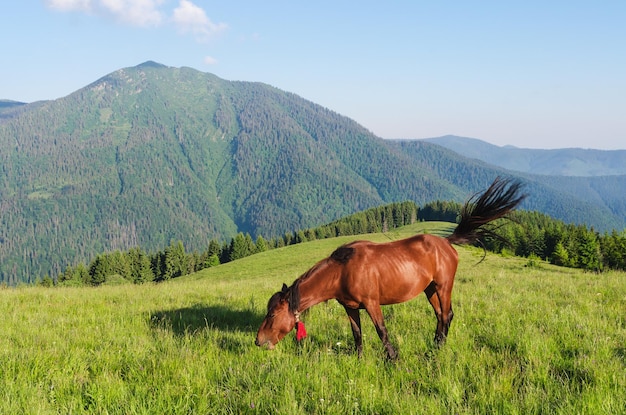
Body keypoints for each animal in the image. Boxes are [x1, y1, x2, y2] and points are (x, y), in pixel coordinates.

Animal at [256, 177, 524, 360]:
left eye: (272, 315)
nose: (258, 342)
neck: (342, 271)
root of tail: (446, 243)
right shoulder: (350, 308)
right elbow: (357, 334)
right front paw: (360, 359)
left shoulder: (372, 304)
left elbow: (381, 331)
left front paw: (393, 359)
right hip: (429, 289)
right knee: (440, 315)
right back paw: (435, 345)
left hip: (443, 286)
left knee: (447, 315)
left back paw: (439, 348)